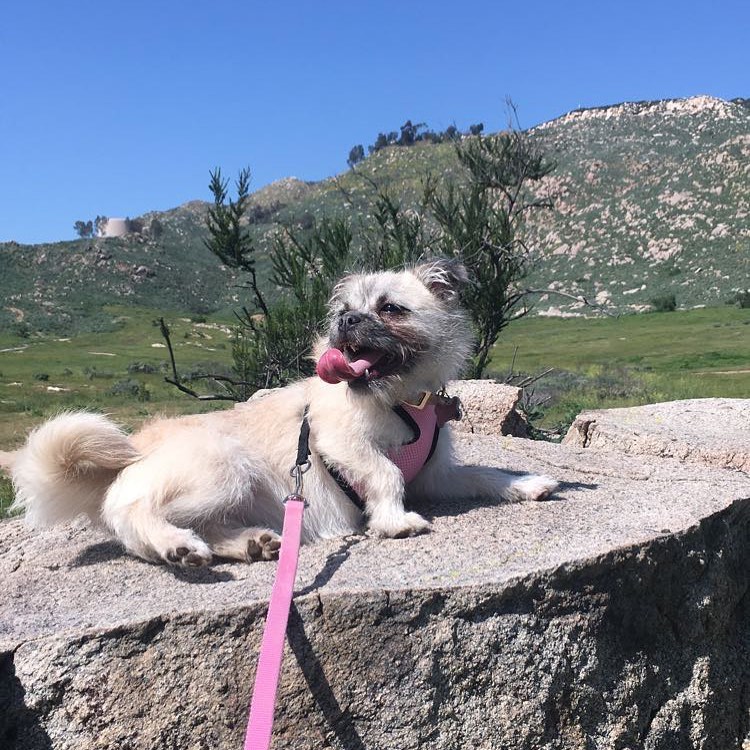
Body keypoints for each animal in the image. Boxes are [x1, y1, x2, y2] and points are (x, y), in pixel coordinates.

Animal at [10, 262, 560, 568]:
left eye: (390, 308)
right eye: (343, 309)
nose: (346, 319)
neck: (403, 398)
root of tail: (134, 449)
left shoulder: (436, 476)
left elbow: (483, 473)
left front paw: (526, 483)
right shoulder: (341, 444)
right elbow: (384, 472)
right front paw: (394, 521)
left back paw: (247, 544)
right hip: (223, 470)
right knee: (130, 514)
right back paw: (175, 546)